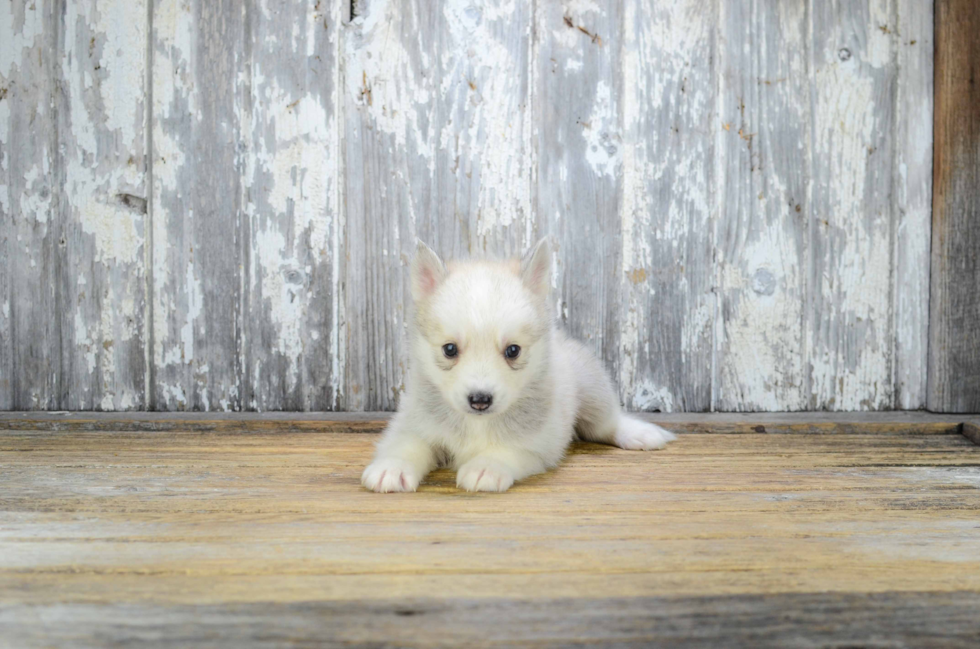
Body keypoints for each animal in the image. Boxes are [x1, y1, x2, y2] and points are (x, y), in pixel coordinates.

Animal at [360, 238, 672, 492]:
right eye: (449, 349)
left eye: (513, 351)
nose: (480, 400)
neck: (477, 423)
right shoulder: (413, 424)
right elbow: (407, 444)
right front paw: (393, 467)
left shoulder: (537, 443)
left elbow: (506, 449)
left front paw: (485, 466)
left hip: (593, 392)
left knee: (607, 423)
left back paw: (639, 434)